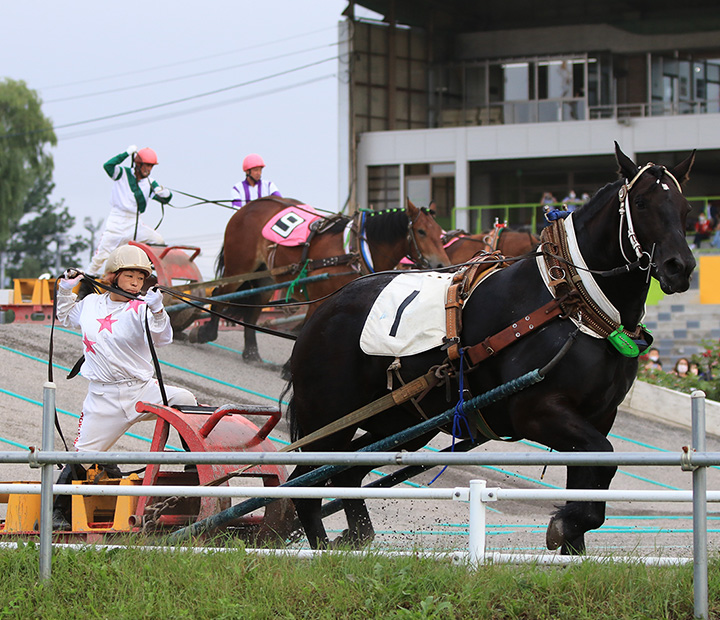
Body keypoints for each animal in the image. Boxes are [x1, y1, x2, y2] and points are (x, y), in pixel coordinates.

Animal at [191, 197, 450, 364]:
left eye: (440, 234)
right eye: (421, 232)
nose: (440, 265)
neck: (355, 250)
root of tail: (249, 206)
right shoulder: (320, 299)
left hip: (265, 276)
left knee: (252, 310)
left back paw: (251, 352)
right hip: (240, 266)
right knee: (221, 294)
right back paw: (207, 332)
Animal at [286, 144, 696, 552]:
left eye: (685, 208)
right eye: (641, 202)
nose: (680, 266)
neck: (571, 303)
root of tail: (319, 312)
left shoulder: (598, 416)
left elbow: (592, 480)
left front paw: (573, 540)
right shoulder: (535, 411)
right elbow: (604, 460)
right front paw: (566, 524)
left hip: (403, 423)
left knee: (347, 471)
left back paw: (357, 535)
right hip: (327, 419)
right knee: (303, 484)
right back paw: (322, 550)